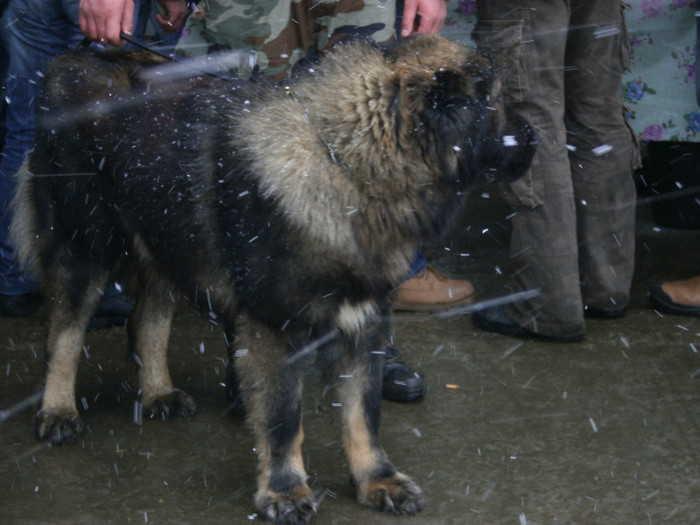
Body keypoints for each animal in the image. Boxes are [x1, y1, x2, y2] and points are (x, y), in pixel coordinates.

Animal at [10, 34, 532, 520]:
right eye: (497, 101)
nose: (535, 136)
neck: (345, 161)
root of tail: (71, 58)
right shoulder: (277, 326)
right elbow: (284, 418)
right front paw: (285, 490)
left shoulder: (362, 321)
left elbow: (363, 412)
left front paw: (377, 480)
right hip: (83, 245)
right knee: (64, 335)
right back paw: (57, 411)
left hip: (166, 235)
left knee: (148, 320)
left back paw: (157, 390)